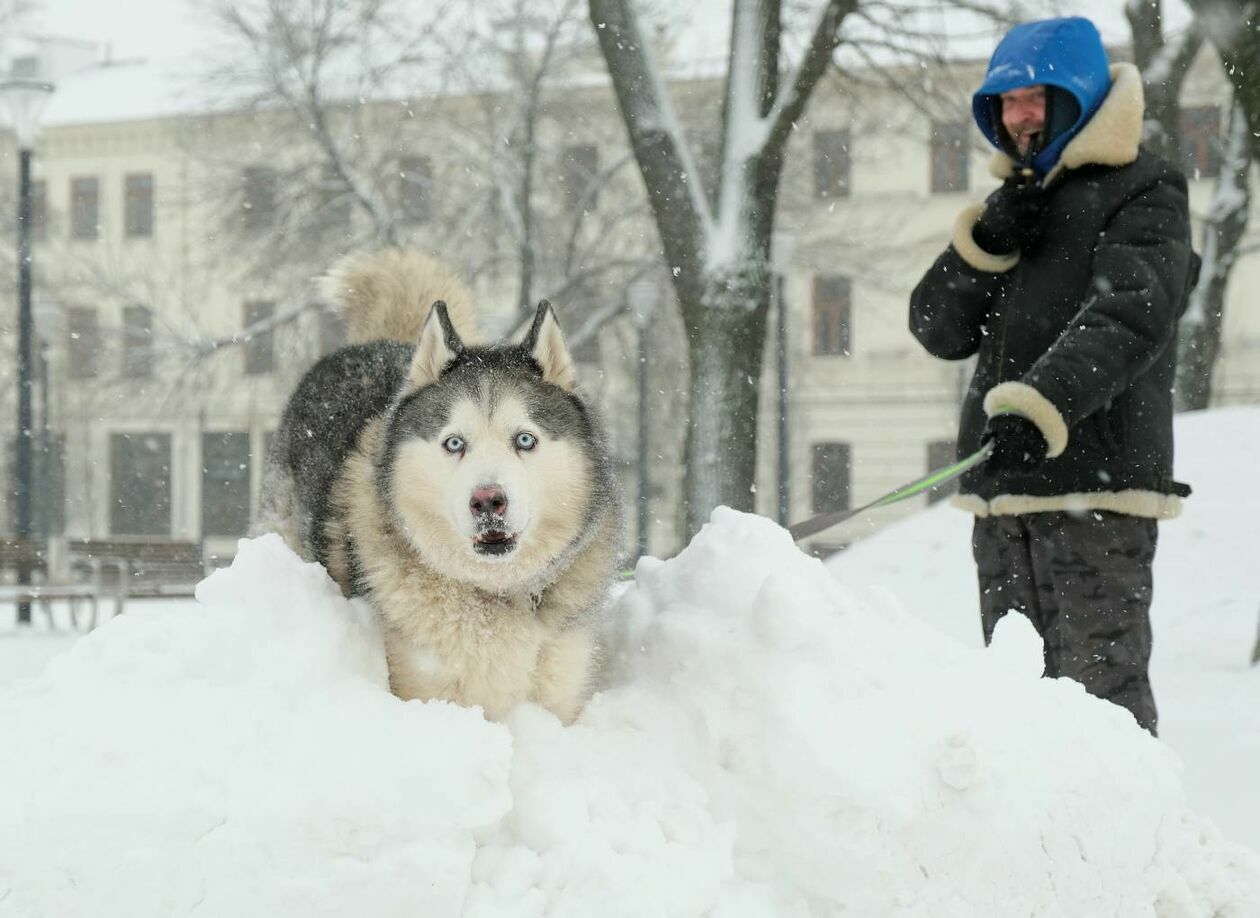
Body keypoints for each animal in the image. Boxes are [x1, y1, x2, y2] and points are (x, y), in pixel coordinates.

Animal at [257, 250, 624, 725]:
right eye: (454, 443)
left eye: (525, 439)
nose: (488, 501)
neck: (492, 594)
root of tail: (379, 342)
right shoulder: (419, 686)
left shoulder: (559, 692)